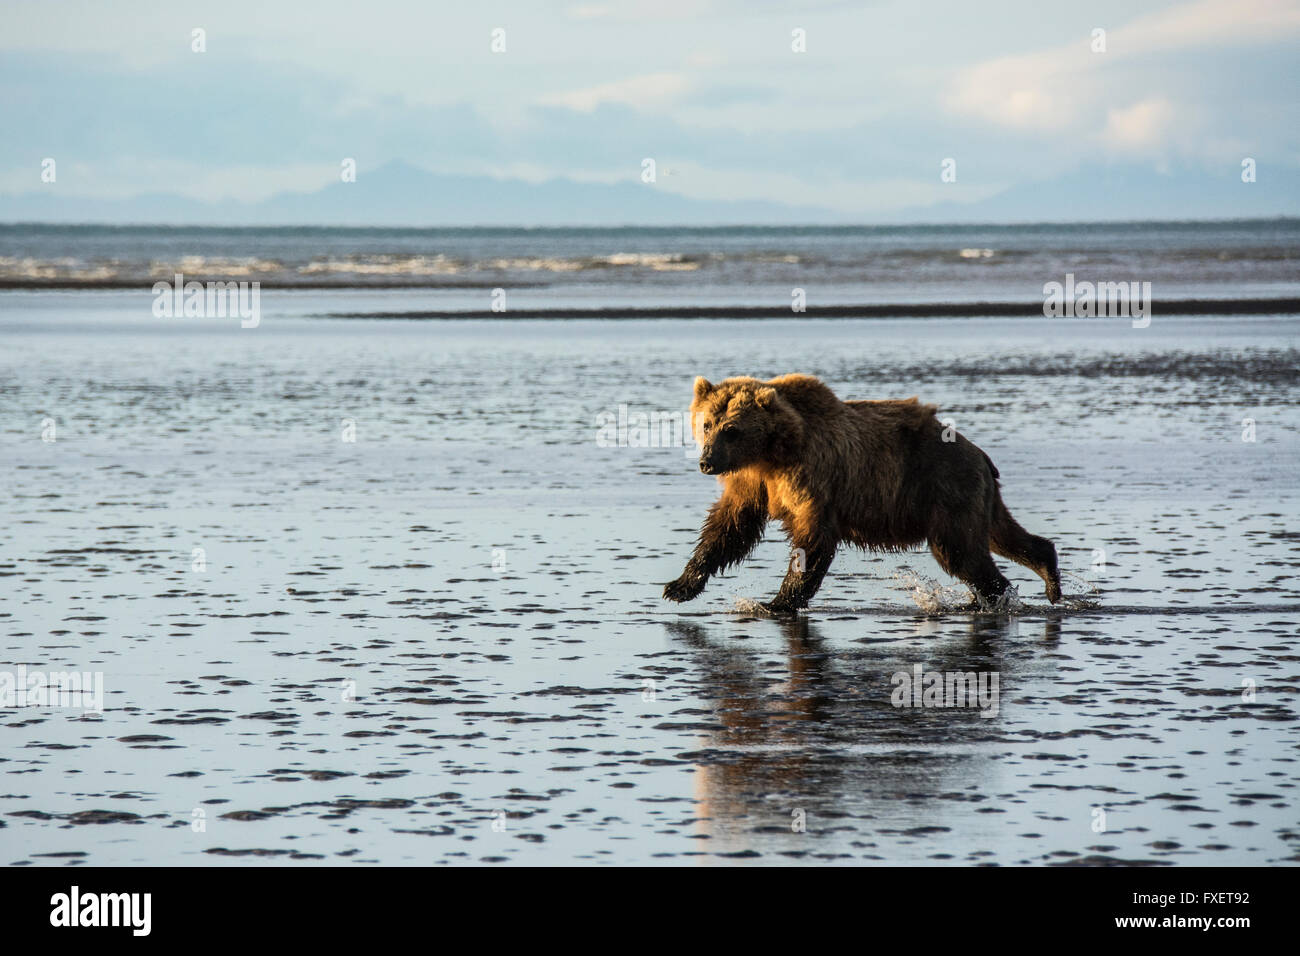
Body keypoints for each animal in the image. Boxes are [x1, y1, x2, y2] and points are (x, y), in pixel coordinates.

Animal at [665, 374, 1060, 613]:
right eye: (706, 423)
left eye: (732, 429)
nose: (707, 462)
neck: (771, 452)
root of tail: (980, 453)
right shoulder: (752, 483)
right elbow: (730, 528)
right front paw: (680, 585)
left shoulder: (813, 476)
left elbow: (812, 538)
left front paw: (777, 602)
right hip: (974, 495)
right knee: (1001, 535)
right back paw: (1044, 575)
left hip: (946, 487)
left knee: (960, 551)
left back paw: (994, 596)